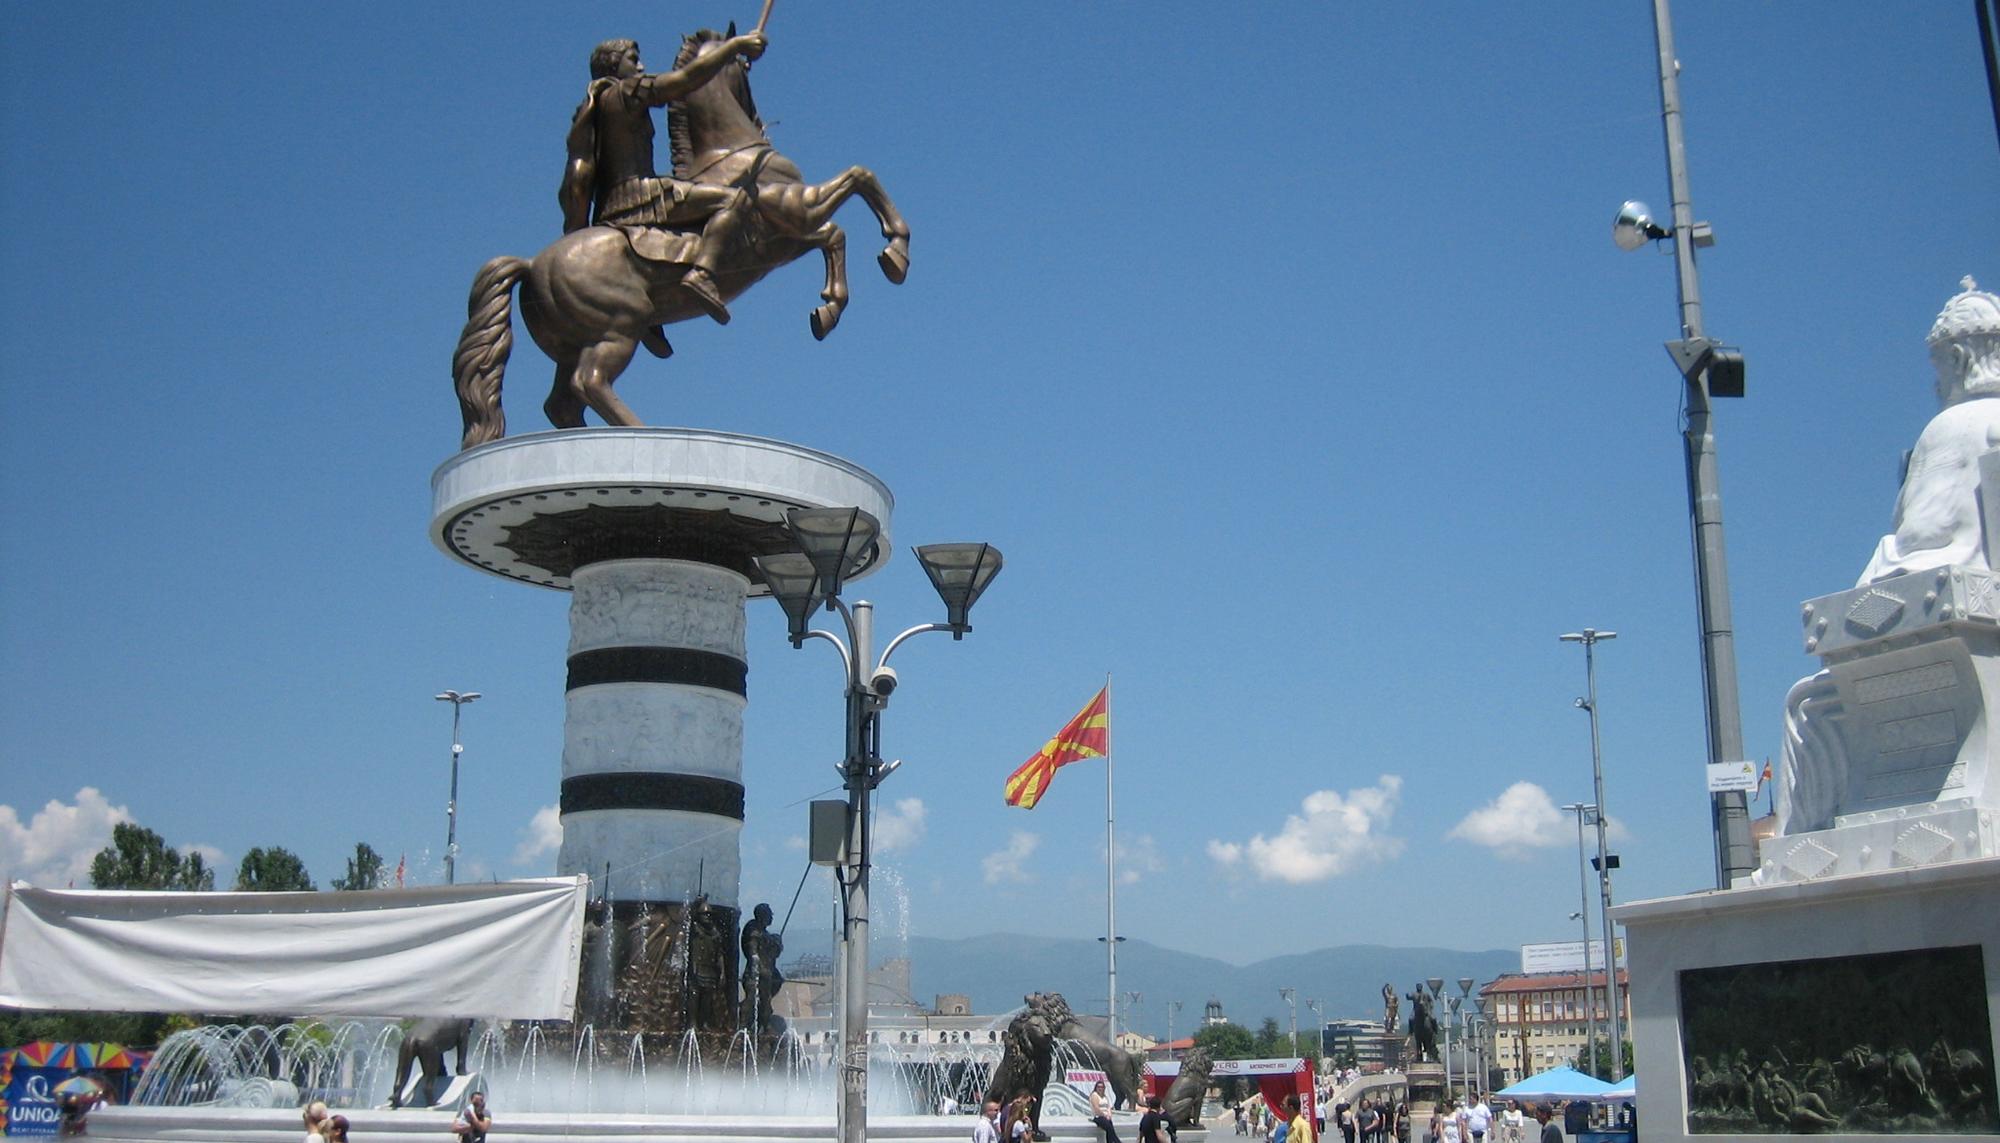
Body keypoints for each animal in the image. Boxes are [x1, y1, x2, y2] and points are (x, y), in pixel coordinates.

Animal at [450, 28, 912, 449]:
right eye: (744, 68)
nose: (760, 116)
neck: (734, 154)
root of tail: (531, 267)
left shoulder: (785, 240)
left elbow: (833, 234)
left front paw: (828, 309)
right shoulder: (795, 211)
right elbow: (858, 181)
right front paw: (894, 254)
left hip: (573, 342)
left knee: (561, 403)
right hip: (619, 326)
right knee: (590, 381)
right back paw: (639, 430)